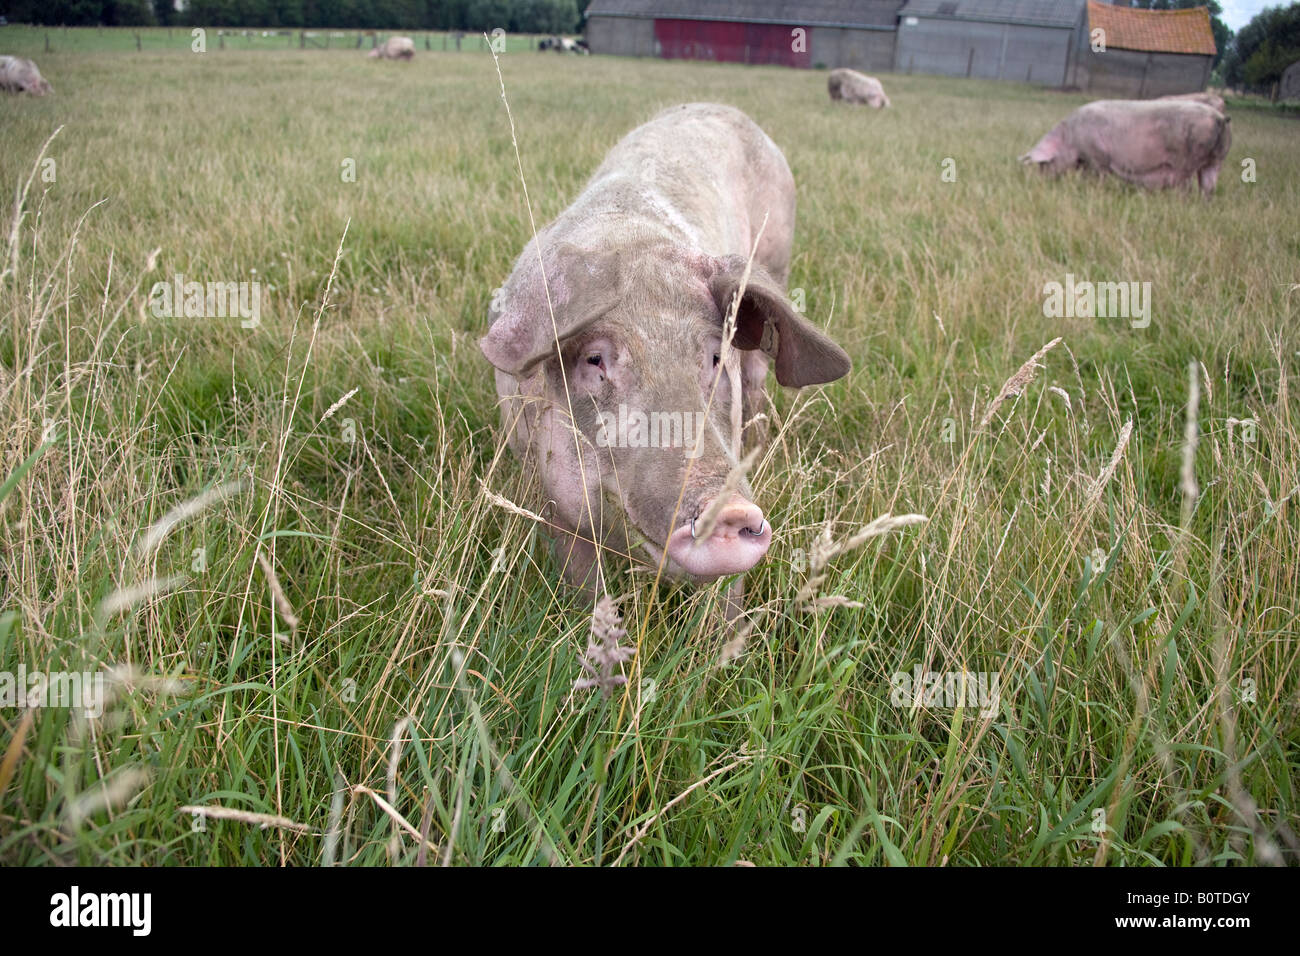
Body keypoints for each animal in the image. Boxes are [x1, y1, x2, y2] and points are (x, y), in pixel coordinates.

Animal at [480, 100, 852, 600]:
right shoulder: (551, 496)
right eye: (595, 359)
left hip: (777, 258)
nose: (729, 510)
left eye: (715, 358)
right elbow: (584, 583)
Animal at [1013, 98, 1227, 196]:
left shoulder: (1096, 157)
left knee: (1187, 187)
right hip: (1216, 159)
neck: (1070, 137)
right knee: (1208, 187)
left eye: (1043, 164)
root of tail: (1219, 118)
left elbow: (1096, 177)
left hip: (1188, 160)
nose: (1041, 182)